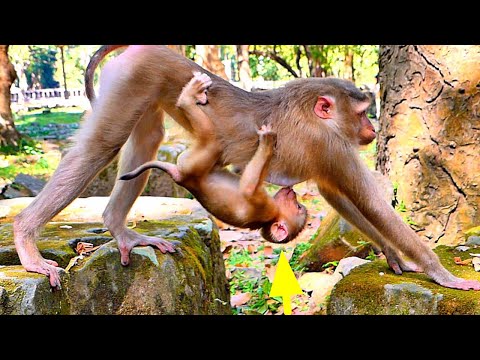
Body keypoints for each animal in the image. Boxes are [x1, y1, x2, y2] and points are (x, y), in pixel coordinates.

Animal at [120, 72, 308, 243]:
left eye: (298, 207)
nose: (292, 191)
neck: (274, 214)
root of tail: (180, 177)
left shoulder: (268, 208)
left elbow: (248, 190)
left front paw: (268, 141)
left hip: (192, 164)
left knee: (214, 142)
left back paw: (186, 98)